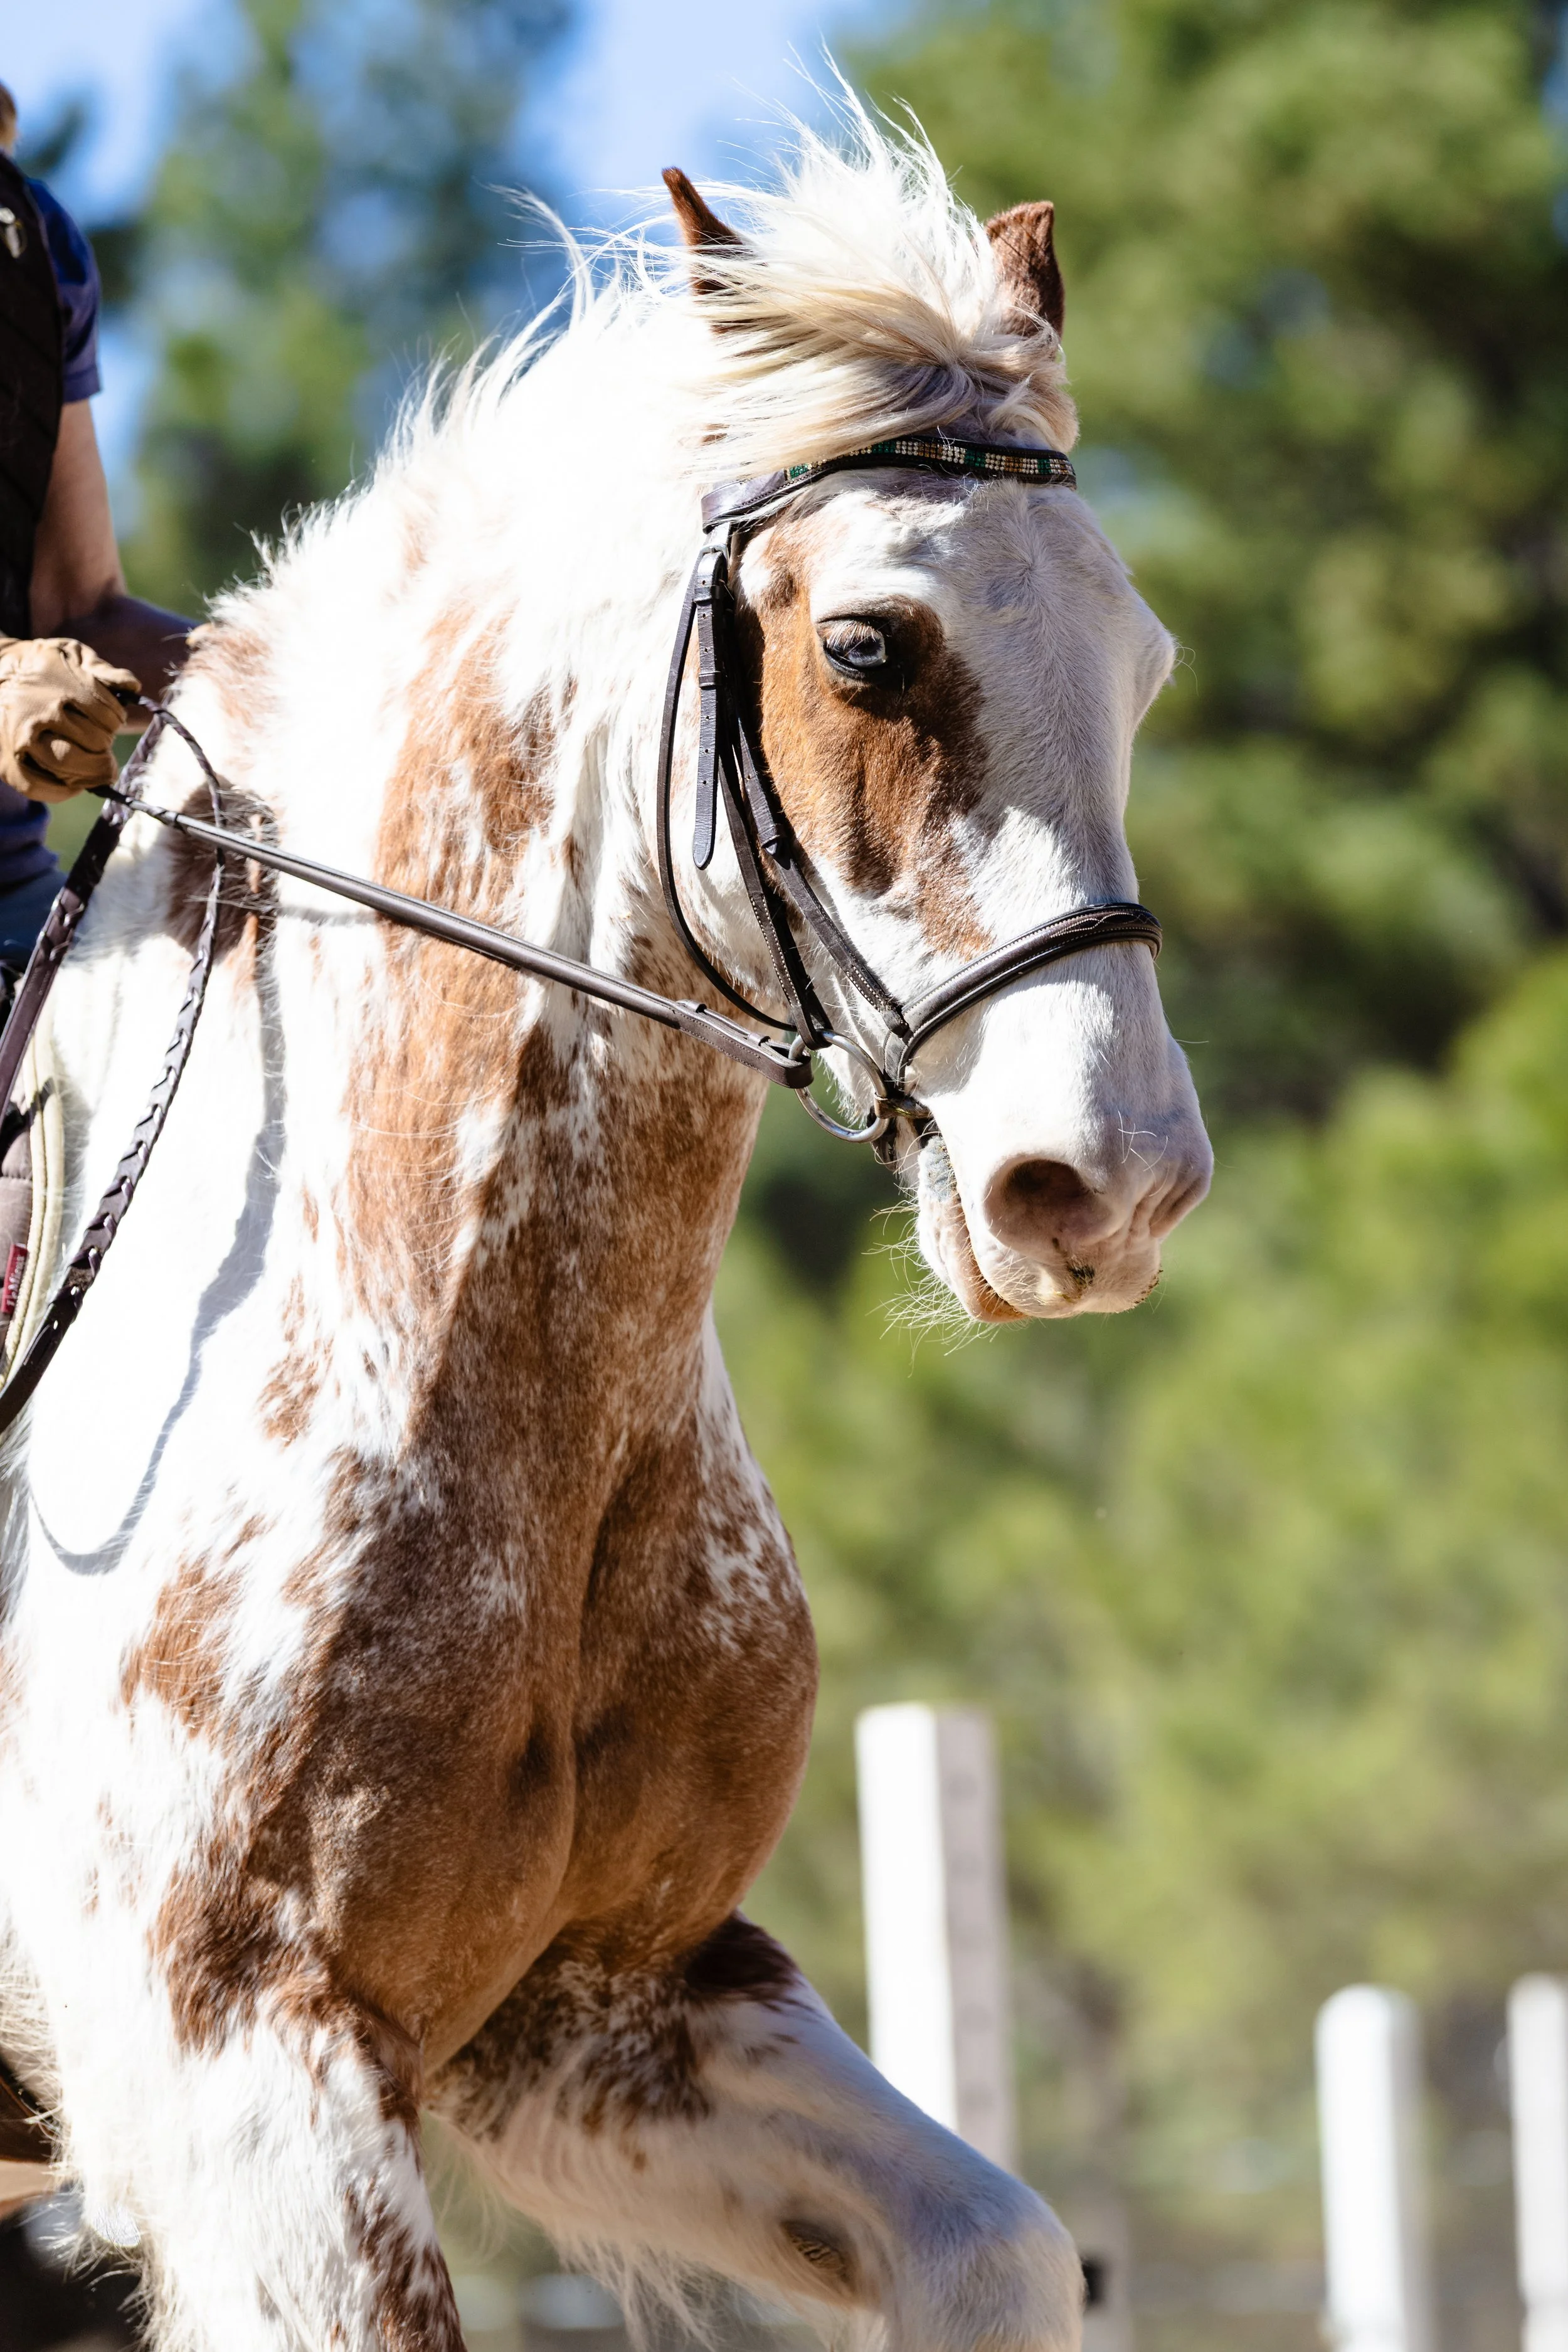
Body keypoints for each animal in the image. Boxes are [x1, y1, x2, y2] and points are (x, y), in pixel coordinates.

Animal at [0, 111, 1210, 2352]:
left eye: (1140, 660)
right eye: (866, 647)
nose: (1104, 1185)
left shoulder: (601, 1997)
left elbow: (999, 2244)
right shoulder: (248, 2066)